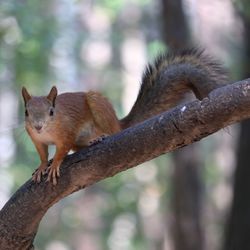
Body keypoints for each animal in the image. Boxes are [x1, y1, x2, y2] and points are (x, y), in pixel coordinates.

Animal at [22, 48, 229, 186]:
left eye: (51, 112)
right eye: (26, 112)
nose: (38, 126)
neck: (46, 132)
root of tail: (118, 124)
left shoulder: (67, 131)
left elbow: (62, 148)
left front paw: (55, 163)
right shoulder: (35, 139)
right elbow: (42, 153)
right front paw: (42, 166)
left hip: (98, 106)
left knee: (110, 132)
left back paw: (99, 137)